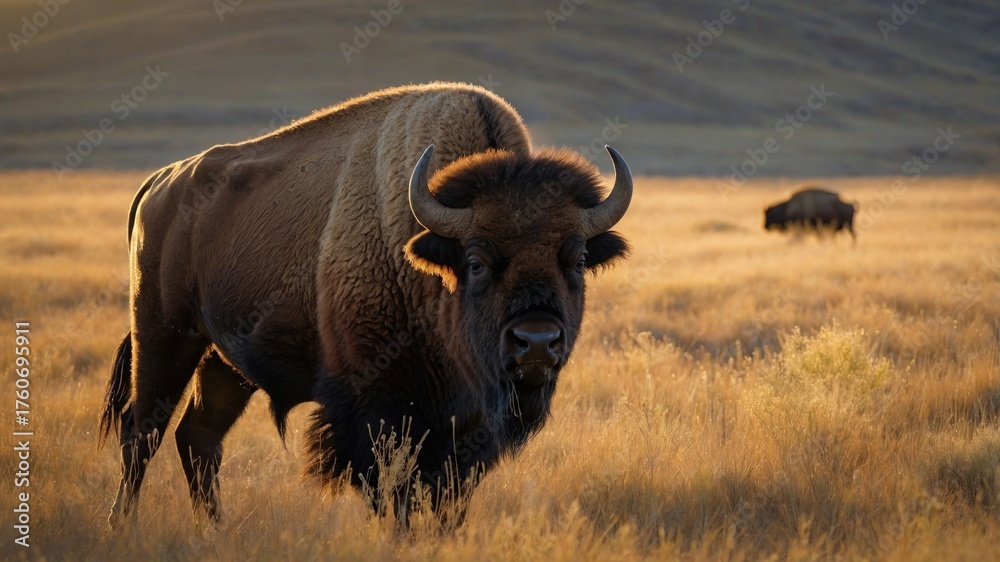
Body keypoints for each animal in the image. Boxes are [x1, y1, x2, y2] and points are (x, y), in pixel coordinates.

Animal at [99, 83, 632, 528]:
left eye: (578, 258)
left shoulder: (465, 429)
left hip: (225, 362)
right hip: (164, 336)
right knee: (141, 432)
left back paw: (215, 530)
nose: (537, 342)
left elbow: (447, 497)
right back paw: (121, 524)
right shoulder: (376, 410)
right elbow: (392, 491)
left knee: (198, 438)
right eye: (476, 260)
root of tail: (159, 184)